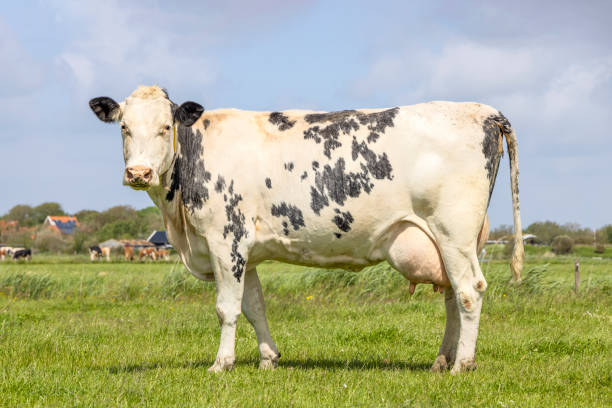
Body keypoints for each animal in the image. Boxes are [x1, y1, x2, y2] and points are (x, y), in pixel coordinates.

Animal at [88, 85, 524, 372]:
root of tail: (483, 110)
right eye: (124, 127)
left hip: (454, 231)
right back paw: (441, 360)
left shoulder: (225, 240)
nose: (139, 173)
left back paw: (462, 365)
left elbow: (227, 308)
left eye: (166, 127)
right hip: (450, 241)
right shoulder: (247, 251)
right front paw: (268, 359)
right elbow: (254, 306)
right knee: (452, 295)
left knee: (469, 292)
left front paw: (221, 364)